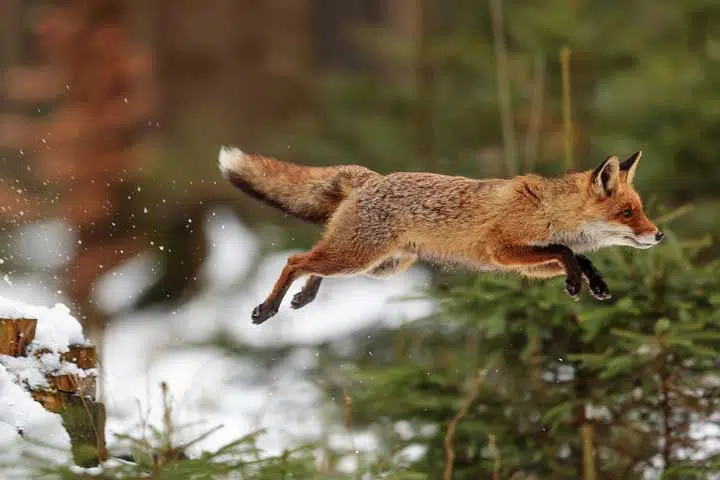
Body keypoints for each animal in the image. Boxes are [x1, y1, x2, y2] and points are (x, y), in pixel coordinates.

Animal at [219, 148, 664, 324]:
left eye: (640, 209)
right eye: (628, 213)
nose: (658, 235)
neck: (549, 210)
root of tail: (373, 177)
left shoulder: (527, 265)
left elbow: (579, 255)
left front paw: (595, 283)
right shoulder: (503, 250)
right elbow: (566, 251)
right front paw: (576, 282)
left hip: (379, 266)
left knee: (312, 263)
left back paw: (304, 296)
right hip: (358, 257)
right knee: (294, 260)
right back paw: (267, 307)